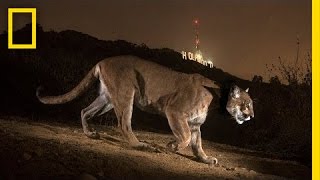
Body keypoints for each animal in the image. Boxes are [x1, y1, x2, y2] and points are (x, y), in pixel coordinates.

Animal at [36, 56, 254, 165]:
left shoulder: (195, 124)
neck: (217, 98)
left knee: (84, 110)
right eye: (246, 104)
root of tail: (103, 61)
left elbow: (197, 145)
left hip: (107, 99)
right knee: (123, 124)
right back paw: (141, 145)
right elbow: (184, 138)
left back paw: (90, 133)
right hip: (126, 94)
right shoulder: (175, 112)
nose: (251, 116)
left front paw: (206, 159)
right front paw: (172, 146)